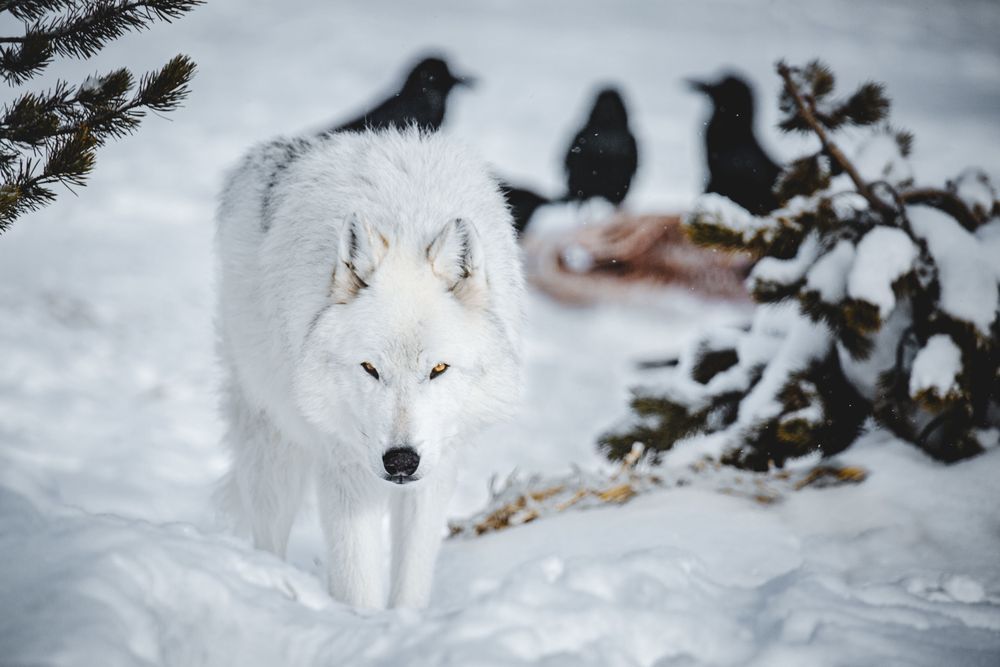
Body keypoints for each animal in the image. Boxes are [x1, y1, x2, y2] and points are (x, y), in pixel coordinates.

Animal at [215, 128, 524, 609]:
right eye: (369, 368)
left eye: (438, 368)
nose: (401, 461)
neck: (406, 219)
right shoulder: (343, 467)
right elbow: (357, 583)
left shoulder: (437, 467)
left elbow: (412, 578)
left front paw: (404, 623)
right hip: (271, 443)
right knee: (269, 532)